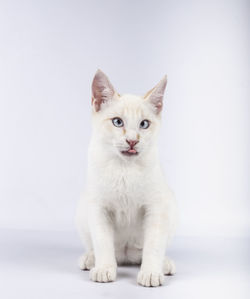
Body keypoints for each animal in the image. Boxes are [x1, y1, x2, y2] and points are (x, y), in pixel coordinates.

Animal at [76, 70, 178, 288]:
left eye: (144, 124)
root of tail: (125, 255)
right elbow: (102, 241)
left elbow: (154, 244)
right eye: (117, 122)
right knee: (97, 246)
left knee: (145, 250)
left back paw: (163, 264)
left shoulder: (156, 207)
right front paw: (104, 269)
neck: (125, 169)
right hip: (82, 211)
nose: (132, 141)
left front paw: (150, 272)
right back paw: (90, 259)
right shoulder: (98, 207)